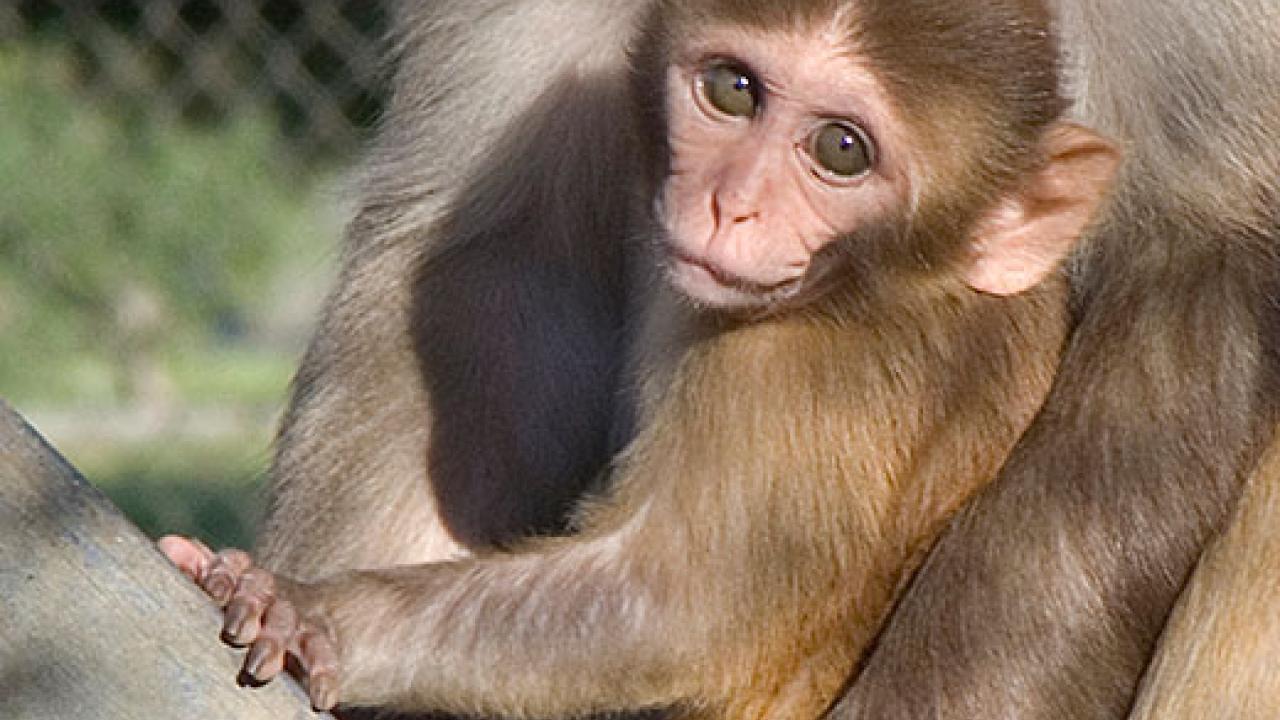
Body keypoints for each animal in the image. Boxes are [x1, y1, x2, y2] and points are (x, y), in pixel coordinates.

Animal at [159, 0, 1123, 717]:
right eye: (733, 90)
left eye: (841, 149)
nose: (732, 204)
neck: (901, 282)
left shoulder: (788, 369)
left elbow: (677, 608)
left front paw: (319, 617)